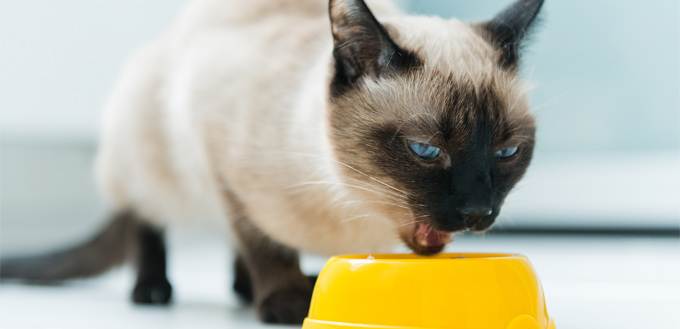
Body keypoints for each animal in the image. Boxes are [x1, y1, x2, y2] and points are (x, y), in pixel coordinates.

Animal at [0, 0, 540, 324]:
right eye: (426, 151)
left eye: (507, 153)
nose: (478, 212)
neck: (350, 206)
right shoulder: (221, 162)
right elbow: (262, 244)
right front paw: (286, 301)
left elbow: (255, 243)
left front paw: (290, 287)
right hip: (144, 158)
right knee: (144, 222)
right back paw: (153, 289)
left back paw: (242, 290)